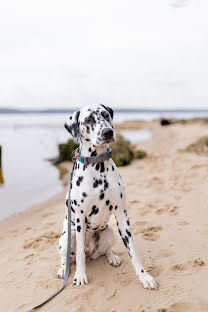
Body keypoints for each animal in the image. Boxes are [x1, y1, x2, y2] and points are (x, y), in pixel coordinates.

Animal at [57, 103, 158, 288]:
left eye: (105, 115)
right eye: (88, 119)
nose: (108, 132)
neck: (97, 167)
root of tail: (92, 253)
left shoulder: (122, 215)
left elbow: (133, 251)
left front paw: (144, 276)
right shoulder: (80, 219)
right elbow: (80, 254)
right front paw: (80, 275)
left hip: (110, 231)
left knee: (105, 251)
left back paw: (112, 257)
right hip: (67, 236)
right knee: (68, 258)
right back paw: (63, 269)